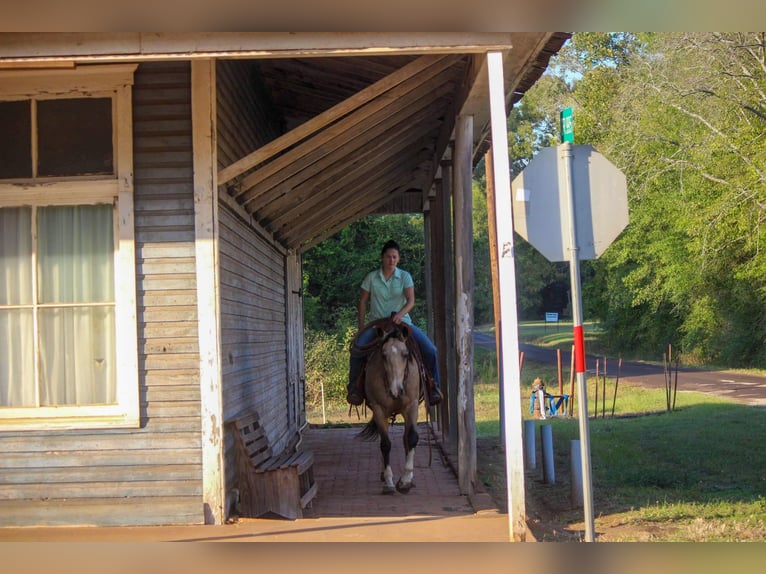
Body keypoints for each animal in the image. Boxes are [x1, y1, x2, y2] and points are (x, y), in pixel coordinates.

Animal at [356, 322, 424, 498]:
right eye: (384, 355)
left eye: (405, 354)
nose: (396, 390)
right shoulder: (379, 410)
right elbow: (385, 444)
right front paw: (389, 483)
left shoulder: (412, 406)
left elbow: (412, 438)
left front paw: (405, 481)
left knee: (406, 439)